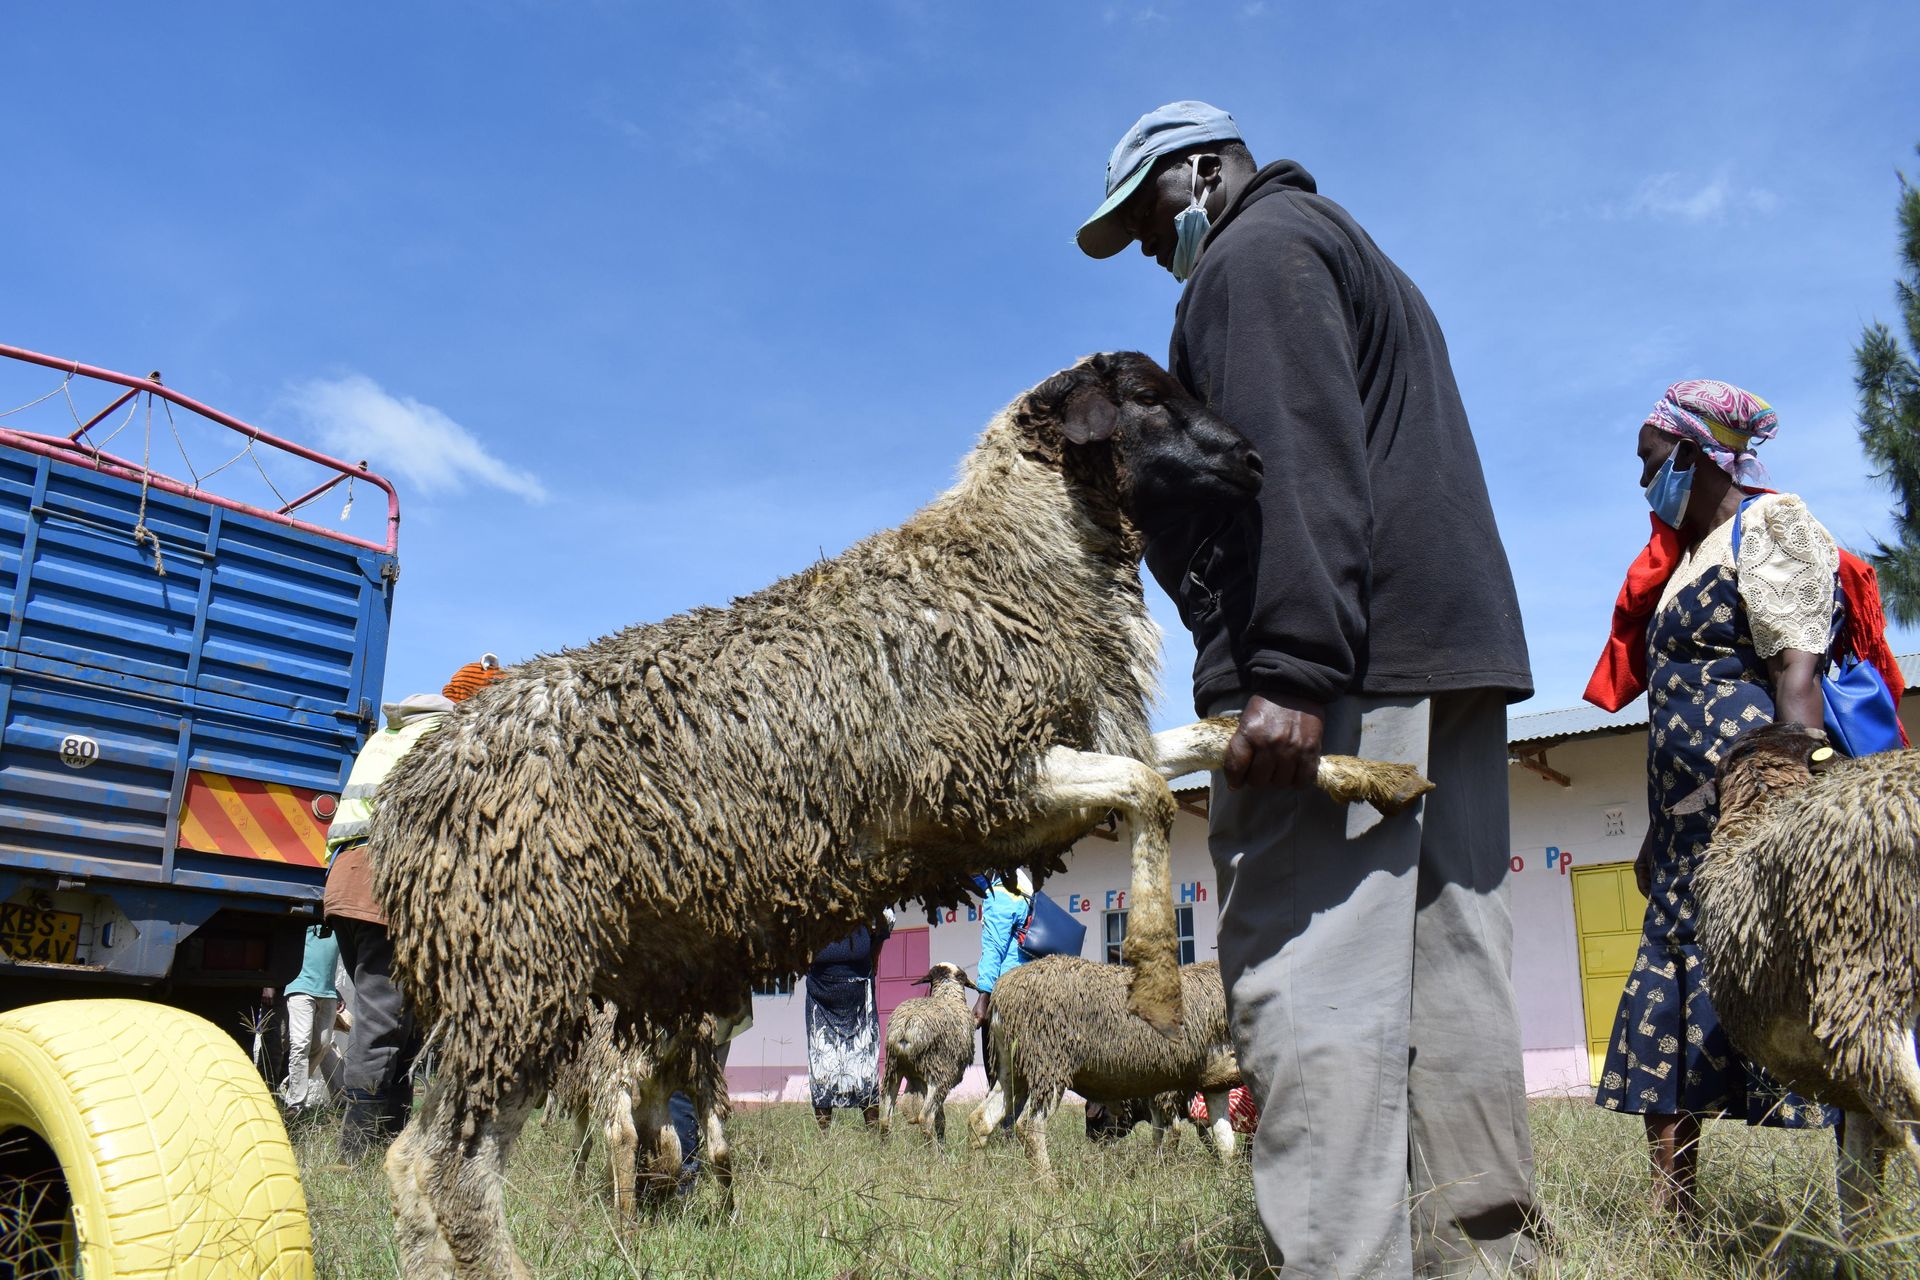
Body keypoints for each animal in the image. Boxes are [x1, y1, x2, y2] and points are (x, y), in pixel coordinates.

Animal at [552, 997, 737, 1220]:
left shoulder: (579, 1077)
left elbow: (582, 1143)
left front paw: (576, 1192)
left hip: (616, 1071)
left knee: (623, 1137)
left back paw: (625, 1217)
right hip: (704, 1075)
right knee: (718, 1147)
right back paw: (727, 1215)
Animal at [879, 959, 983, 1143]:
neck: (947, 994)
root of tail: (907, 1026)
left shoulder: (920, 1079)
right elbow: (940, 1119)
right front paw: (942, 1143)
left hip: (893, 1069)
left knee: (885, 1118)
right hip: (939, 1074)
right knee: (925, 1118)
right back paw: (933, 1149)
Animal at [975, 959, 1244, 1182]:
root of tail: (1001, 993)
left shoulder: (1213, 1083)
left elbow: (1225, 1144)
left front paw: (1228, 1180)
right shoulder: (1169, 1091)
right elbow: (1174, 1134)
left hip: (1012, 1068)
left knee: (981, 1119)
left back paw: (977, 1171)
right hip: (1048, 1064)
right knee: (1030, 1127)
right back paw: (1050, 1185)